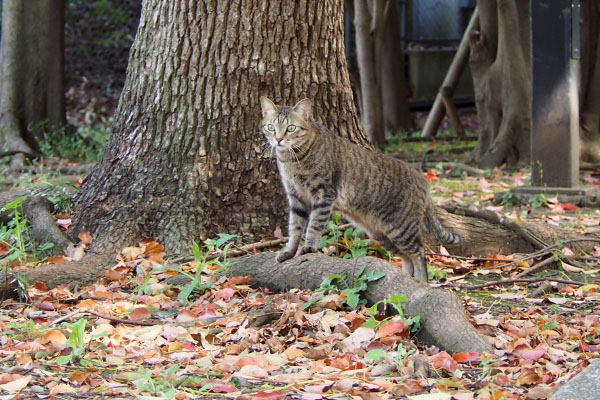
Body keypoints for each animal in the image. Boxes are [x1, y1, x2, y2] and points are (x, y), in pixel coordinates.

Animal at [260, 96, 462, 282]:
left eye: (291, 128)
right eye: (271, 127)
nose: (278, 139)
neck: (291, 160)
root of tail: (422, 179)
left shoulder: (324, 193)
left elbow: (314, 226)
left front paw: (309, 248)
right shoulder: (295, 197)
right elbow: (294, 229)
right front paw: (289, 252)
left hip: (401, 229)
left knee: (419, 254)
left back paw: (421, 282)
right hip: (382, 234)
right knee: (407, 257)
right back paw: (406, 277)